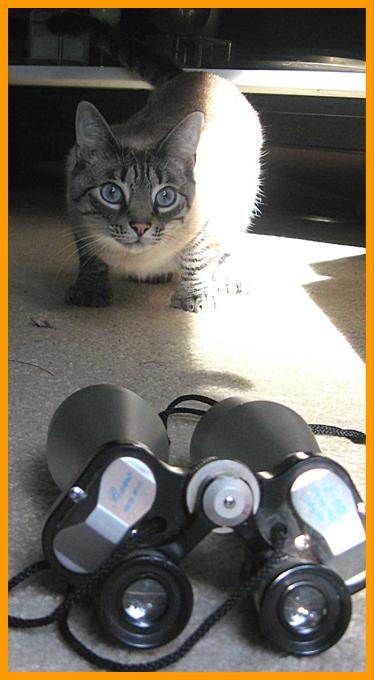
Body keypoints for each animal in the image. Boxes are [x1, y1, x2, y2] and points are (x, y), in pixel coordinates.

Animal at [59, 15, 262, 312]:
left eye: (165, 197)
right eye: (111, 192)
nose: (141, 227)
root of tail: (193, 73)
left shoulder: (208, 223)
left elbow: (197, 258)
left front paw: (194, 297)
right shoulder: (78, 220)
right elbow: (89, 258)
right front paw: (89, 292)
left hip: (244, 199)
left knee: (231, 242)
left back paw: (226, 277)